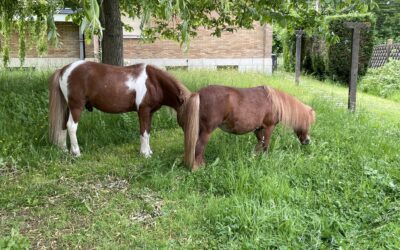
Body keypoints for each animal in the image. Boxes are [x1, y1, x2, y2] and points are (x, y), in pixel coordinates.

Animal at [49, 60, 199, 165]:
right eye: (187, 115)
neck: (153, 82)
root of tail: (64, 70)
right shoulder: (143, 110)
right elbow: (144, 132)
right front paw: (145, 154)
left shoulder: (149, 112)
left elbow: (148, 131)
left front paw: (148, 151)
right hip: (76, 106)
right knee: (71, 126)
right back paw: (76, 152)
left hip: (67, 107)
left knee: (63, 125)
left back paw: (64, 150)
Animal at [187, 85, 316, 171]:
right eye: (306, 123)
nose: (307, 141)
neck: (274, 103)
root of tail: (198, 94)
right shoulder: (269, 127)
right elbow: (265, 145)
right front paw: (264, 159)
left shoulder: (258, 129)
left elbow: (260, 143)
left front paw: (254, 157)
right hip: (207, 131)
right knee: (199, 147)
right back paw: (198, 168)